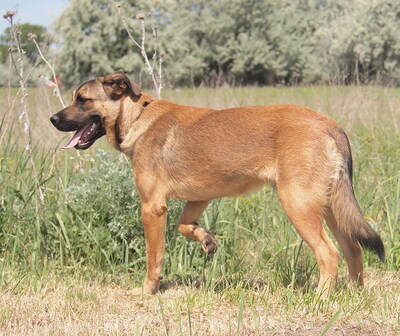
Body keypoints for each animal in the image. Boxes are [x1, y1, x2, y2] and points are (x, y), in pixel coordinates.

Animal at [50, 71, 384, 296]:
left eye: (82, 100)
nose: (53, 119)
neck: (137, 117)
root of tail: (331, 125)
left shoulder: (152, 208)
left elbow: (154, 258)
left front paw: (148, 291)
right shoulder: (198, 198)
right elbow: (185, 226)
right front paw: (207, 240)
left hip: (298, 205)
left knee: (329, 254)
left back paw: (320, 299)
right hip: (330, 207)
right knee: (354, 249)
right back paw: (353, 295)